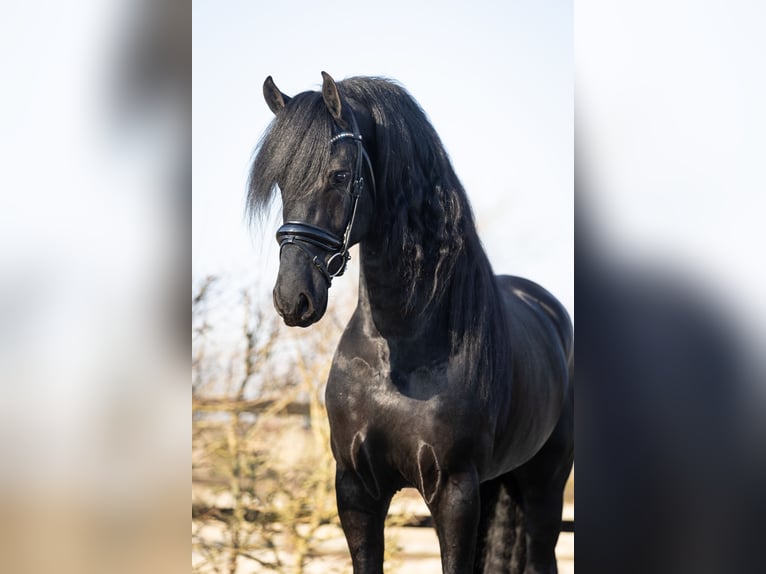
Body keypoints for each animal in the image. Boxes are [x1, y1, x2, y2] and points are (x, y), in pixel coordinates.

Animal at [249, 73, 572, 574]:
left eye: (339, 175)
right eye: (282, 181)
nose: (292, 298)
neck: (400, 350)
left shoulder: (454, 491)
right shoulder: (356, 490)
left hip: (545, 485)